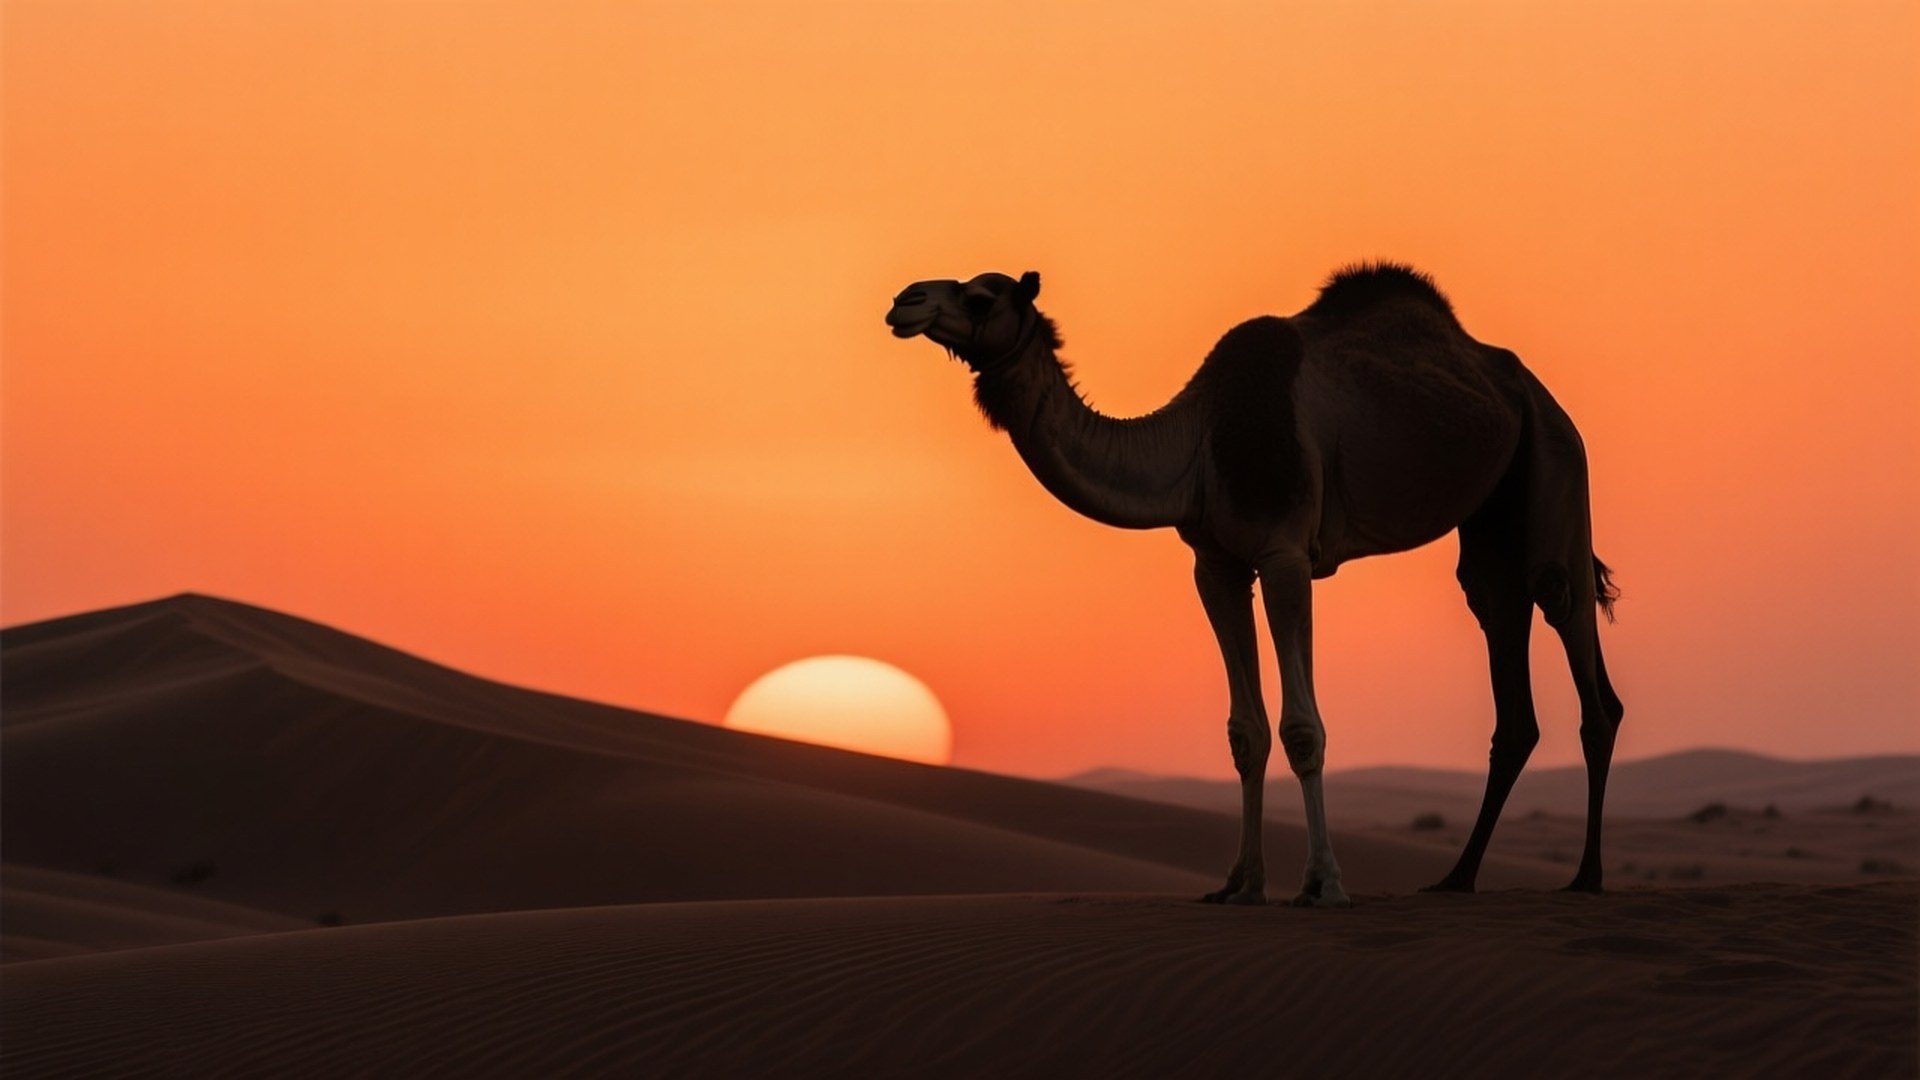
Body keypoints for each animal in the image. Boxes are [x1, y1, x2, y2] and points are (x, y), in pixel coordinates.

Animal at [886, 263, 1624, 906]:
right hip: (1492, 520)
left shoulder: (1284, 553)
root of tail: (1530, 389)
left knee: (1572, 631)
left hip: (1559, 460)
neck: (1199, 441)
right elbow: (1246, 731)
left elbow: (1302, 728)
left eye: (982, 295)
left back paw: (1586, 877)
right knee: (1503, 638)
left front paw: (1322, 884)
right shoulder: (1216, 564)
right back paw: (1456, 878)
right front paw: (1240, 884)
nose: (905, 301)